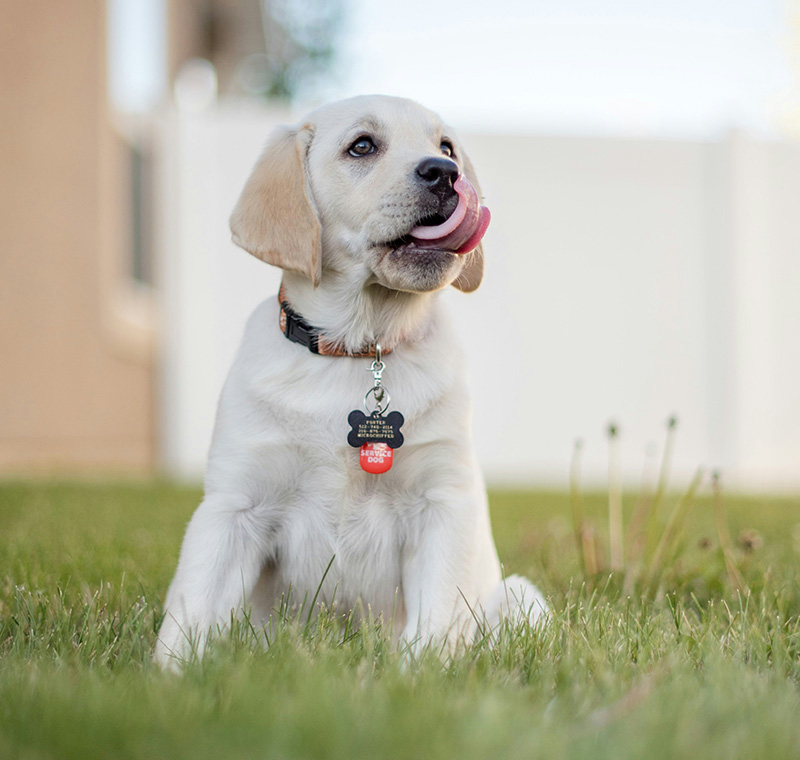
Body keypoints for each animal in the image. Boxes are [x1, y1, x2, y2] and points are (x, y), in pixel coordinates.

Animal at [155, 93, 544, 664]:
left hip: (521, 595)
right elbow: (192, 609)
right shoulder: (234, 506)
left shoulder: (443, 503)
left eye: (446, 146)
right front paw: (171, 676)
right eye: (362, 146)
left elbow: (435, 620)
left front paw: (418, 674)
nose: (446, 173)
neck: (360, 349)